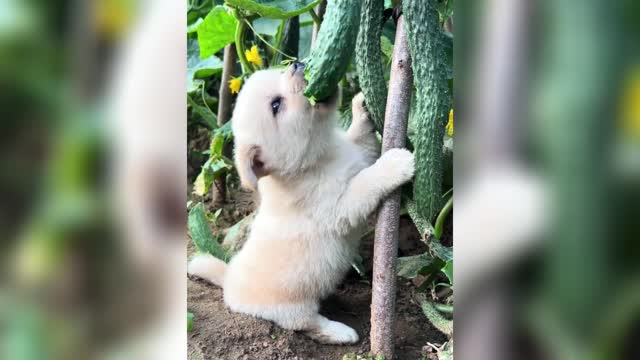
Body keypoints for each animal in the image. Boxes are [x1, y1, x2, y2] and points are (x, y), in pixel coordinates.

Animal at [186, 63, 416, 344]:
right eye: (276, 105)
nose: (296, 64)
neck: (317, 157)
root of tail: (229, 281)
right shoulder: (339, 206)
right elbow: (366, 182)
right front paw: (396, 163)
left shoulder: (359, 153)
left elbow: (361, 139)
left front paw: (361, 105)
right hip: (291, 308)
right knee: (305, 324)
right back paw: (339, 332)